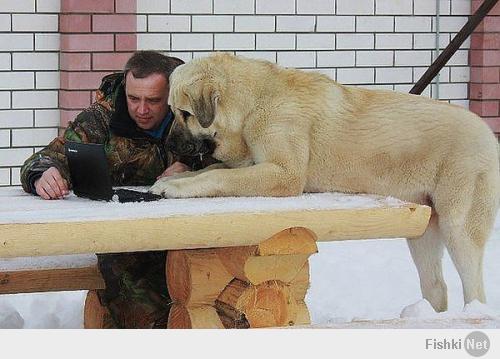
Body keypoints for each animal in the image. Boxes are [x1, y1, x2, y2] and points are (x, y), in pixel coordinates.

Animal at [151, 53, 500, 312]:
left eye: (185, 113)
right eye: (171, 112)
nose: (168, 145)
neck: (254, 103)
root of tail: (486, 132)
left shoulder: (284, 174)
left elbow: (219, 174)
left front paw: (175, 186)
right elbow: (210, 170)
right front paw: (176, 177)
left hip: (459, 227)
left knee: (473, 288)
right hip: (423, 231)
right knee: (436, 287)